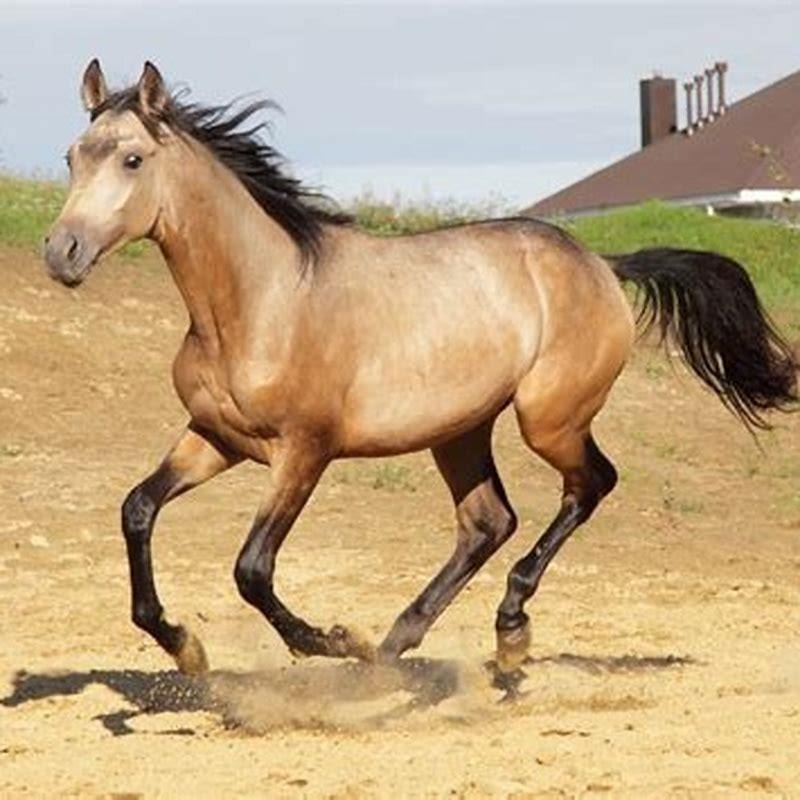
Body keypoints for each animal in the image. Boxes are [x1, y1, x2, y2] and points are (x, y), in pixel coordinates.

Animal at [44, 60, 797, 688]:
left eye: (133, 159)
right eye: (71, 157)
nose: (61, 251)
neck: (260, 300)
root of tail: (600, 264)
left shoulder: (304, 452)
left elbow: (252, 569)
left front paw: (331, 641)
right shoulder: (215, 438)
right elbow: (137, 510)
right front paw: (184, 647)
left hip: (548, 418)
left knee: (590, 484)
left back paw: (502, 630)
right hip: (459, 430)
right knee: (489, 521)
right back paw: (402, 642)